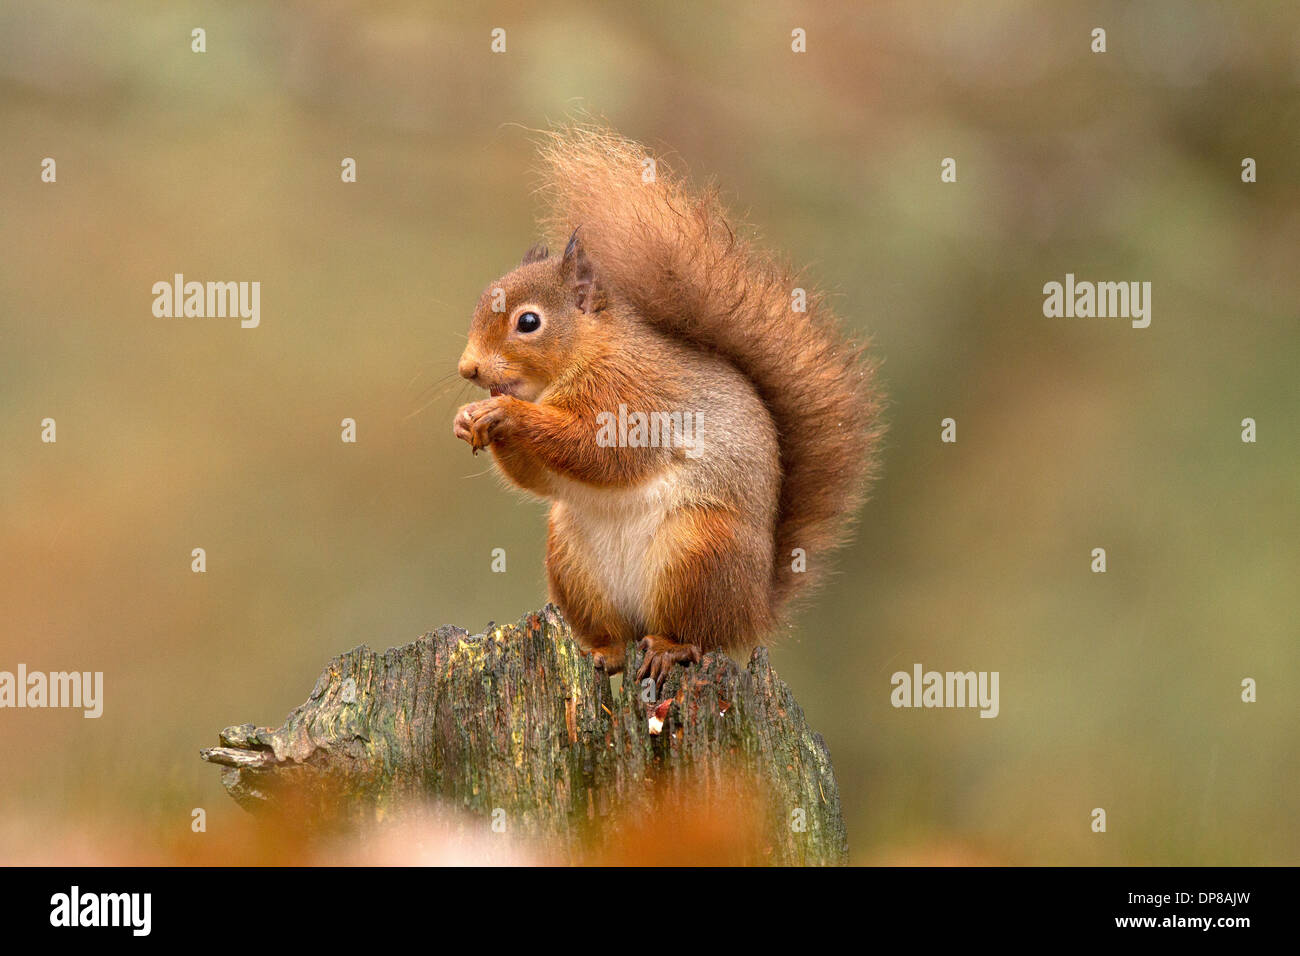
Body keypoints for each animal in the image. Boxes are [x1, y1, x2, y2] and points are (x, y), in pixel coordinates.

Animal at [452, 123, 889, 686]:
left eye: (528, 322)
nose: (468, 370)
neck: (589, 353)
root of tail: (754, 610)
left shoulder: (634, 396)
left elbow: (602, 451)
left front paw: (507, 414)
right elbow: (541, 477)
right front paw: (469, 420)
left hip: (698, 549)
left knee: (698, 636)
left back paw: (668, 647)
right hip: (572, 558)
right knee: (617, 636)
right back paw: (606, 651)